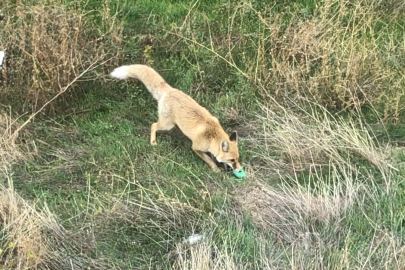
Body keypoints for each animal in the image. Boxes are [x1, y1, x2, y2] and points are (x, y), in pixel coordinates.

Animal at [109, 64, 241, 172]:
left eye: (237, 158)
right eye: (232, 160)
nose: (240, 170)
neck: (212, 135)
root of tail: (169, 90)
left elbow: (213, 156)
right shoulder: (195, 147)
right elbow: (208, 159)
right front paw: (215, 168)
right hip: (167, 125)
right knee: (153, 125)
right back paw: (153, 142)